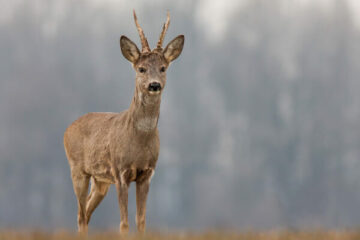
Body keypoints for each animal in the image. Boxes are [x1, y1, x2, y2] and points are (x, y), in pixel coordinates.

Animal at [63, 10, 184, 234]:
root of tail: (67, 129)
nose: (154, 85)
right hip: (77, 170)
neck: (139, 141)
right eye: (141, 69)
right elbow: (124, 222)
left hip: (100, 180)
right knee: (81, 214)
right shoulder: (120, 171)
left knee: (87, 212)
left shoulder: (147, 173)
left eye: (163, 68)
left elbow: (141, 220)